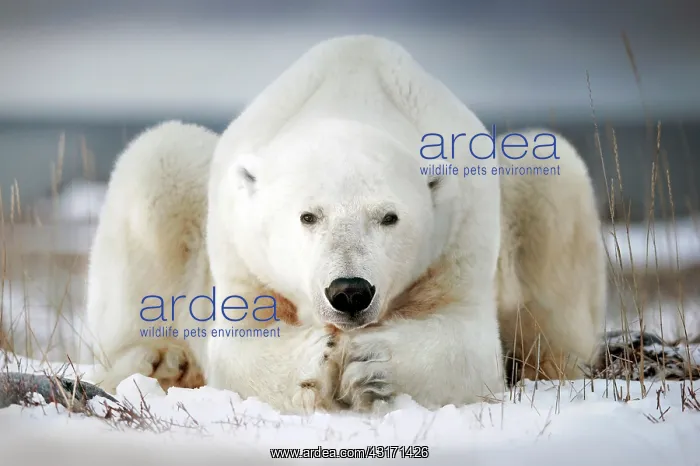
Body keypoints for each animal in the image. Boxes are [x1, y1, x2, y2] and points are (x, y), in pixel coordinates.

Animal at [84, 35, 606, 414]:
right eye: (308, 216)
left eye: (389, 217)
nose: (350, 291)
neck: (352, 92)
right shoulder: (240, 246)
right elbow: (240, 340)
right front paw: (316, 359)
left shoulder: (461, 233)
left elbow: (468, 342)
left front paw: (369, 364)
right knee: (159, 159)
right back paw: (161, 361)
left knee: (548, 174)